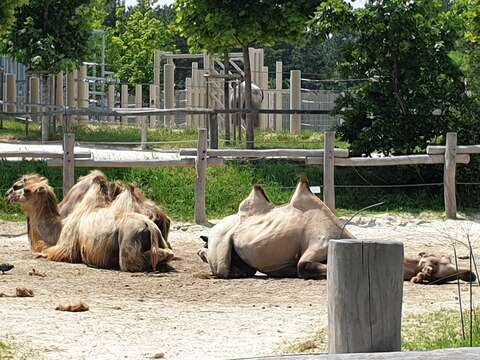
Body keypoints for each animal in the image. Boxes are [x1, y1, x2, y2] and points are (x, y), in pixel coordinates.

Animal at [6, 176, 173, 272]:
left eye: (25, 190)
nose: (8, 195)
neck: (59, 227)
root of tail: (150, 226)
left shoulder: (65, 249)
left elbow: (47, 253)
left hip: (129, 241)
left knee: (131, 262)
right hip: (159, 237)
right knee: (168, 253)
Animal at [199, 177, 476, 284]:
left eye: (449, 263)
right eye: (436, 267)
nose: (470, 274)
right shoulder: (314, 249)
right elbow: (305, 266)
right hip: (221, 248)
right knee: (221, 269)